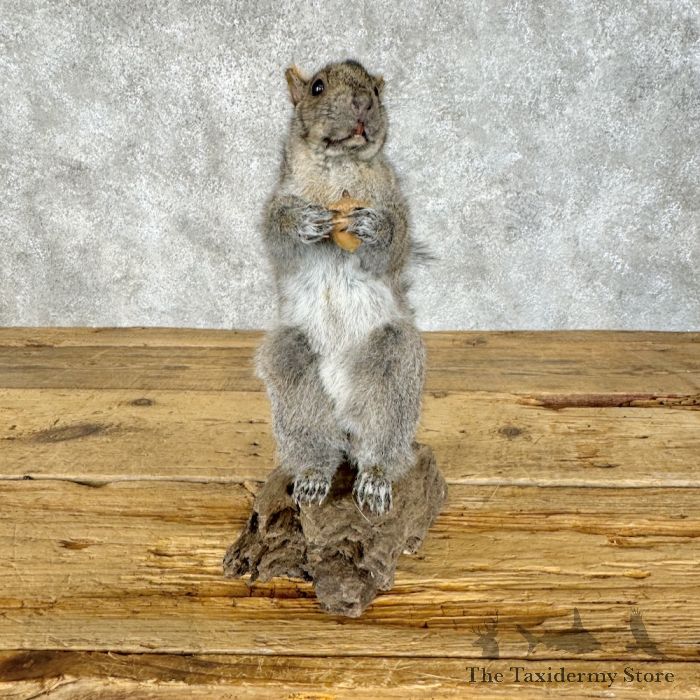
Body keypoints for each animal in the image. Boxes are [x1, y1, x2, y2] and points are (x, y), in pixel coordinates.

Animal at [254, 59, 431, 516]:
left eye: (377, 90)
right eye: (317, 87)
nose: (363, 103)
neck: (341, 168)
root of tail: (345, 422)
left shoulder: (395, 202)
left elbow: (393, 242)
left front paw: (371, 225)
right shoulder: (278, 199)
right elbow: (277, 231)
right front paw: (303, 222)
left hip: (393, 369)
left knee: (380, 442)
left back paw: (375, 480)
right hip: (295, 380)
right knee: (315, 441)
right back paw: (313, 477)